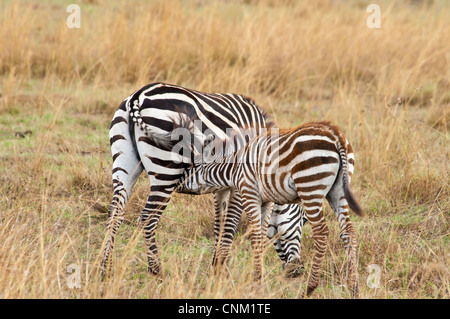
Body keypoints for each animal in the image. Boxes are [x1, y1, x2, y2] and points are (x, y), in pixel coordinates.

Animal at [102, 82, 306, 278]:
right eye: (304, 221)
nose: (297, 271)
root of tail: (138, 96)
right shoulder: (241, 181)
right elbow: (234, 223)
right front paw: (224, 269)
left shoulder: (221, 183)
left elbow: (220, 223)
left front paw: (218, 265)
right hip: (166, 171)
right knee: (148, 218)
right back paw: (157, 271)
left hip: (124, 163)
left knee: (115, 213)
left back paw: (106, 267)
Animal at [181, 120, 364, 298]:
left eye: (189, 169)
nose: (176, 186)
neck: (234, 169)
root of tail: (336, 135)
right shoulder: (266, 202)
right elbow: (262, 237)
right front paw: (258, 277)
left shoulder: (249, 193)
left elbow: (255, 238)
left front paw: (257, 281)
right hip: (338, 192)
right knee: (348, 232)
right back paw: (354, 288)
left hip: (309, 186)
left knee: (322, 232)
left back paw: (309, 288)